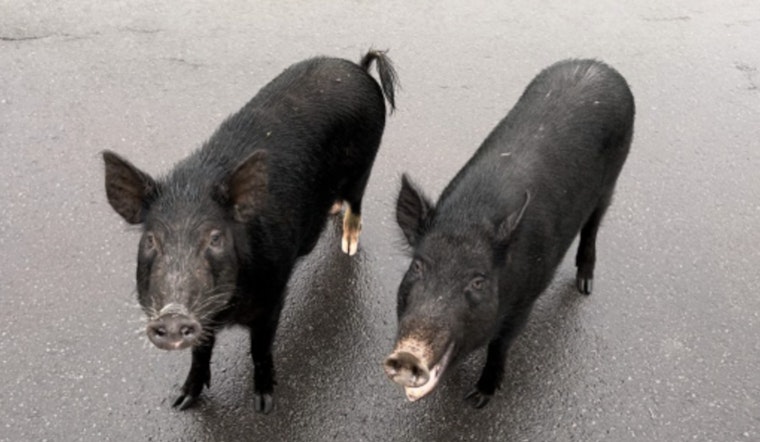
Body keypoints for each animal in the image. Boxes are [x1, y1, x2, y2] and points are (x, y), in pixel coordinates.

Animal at [103, 50, 397, 413]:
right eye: (151, 239)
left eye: (215, 238)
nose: (172, 316)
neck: (227, 313)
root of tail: (358, 67)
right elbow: (200, 352)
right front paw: (182, 401)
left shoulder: (273, 296)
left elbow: (260, 349)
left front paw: (264, 404)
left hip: (366, 162)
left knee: (356, 202)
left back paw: (349, 245)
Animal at [383, 59, 634, 408]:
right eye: (418, 265)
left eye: (478, 281)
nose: (408, 356)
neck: (468, 219)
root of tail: (599, 65)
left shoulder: (524, 302)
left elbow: (500, 345)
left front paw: (478, 399)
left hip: (613, 178)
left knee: (593, 225)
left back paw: (585, 286)